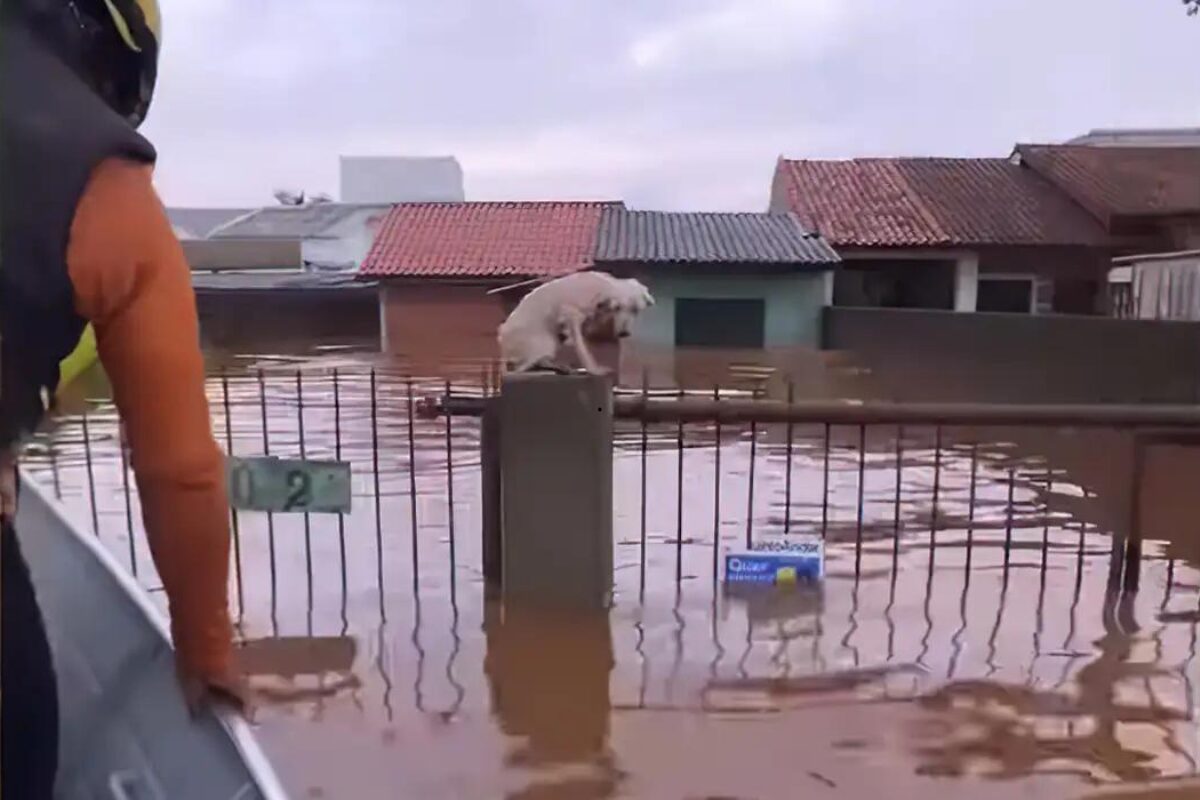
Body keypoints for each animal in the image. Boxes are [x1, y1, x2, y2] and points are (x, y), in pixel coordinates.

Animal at [501, 272, 662, 376]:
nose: (624, 333)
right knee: (521, 367)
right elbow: (582, 348)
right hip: (544, 341)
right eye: (617, 308)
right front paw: (594, 369)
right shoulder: (571, 314)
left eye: (635, 310)